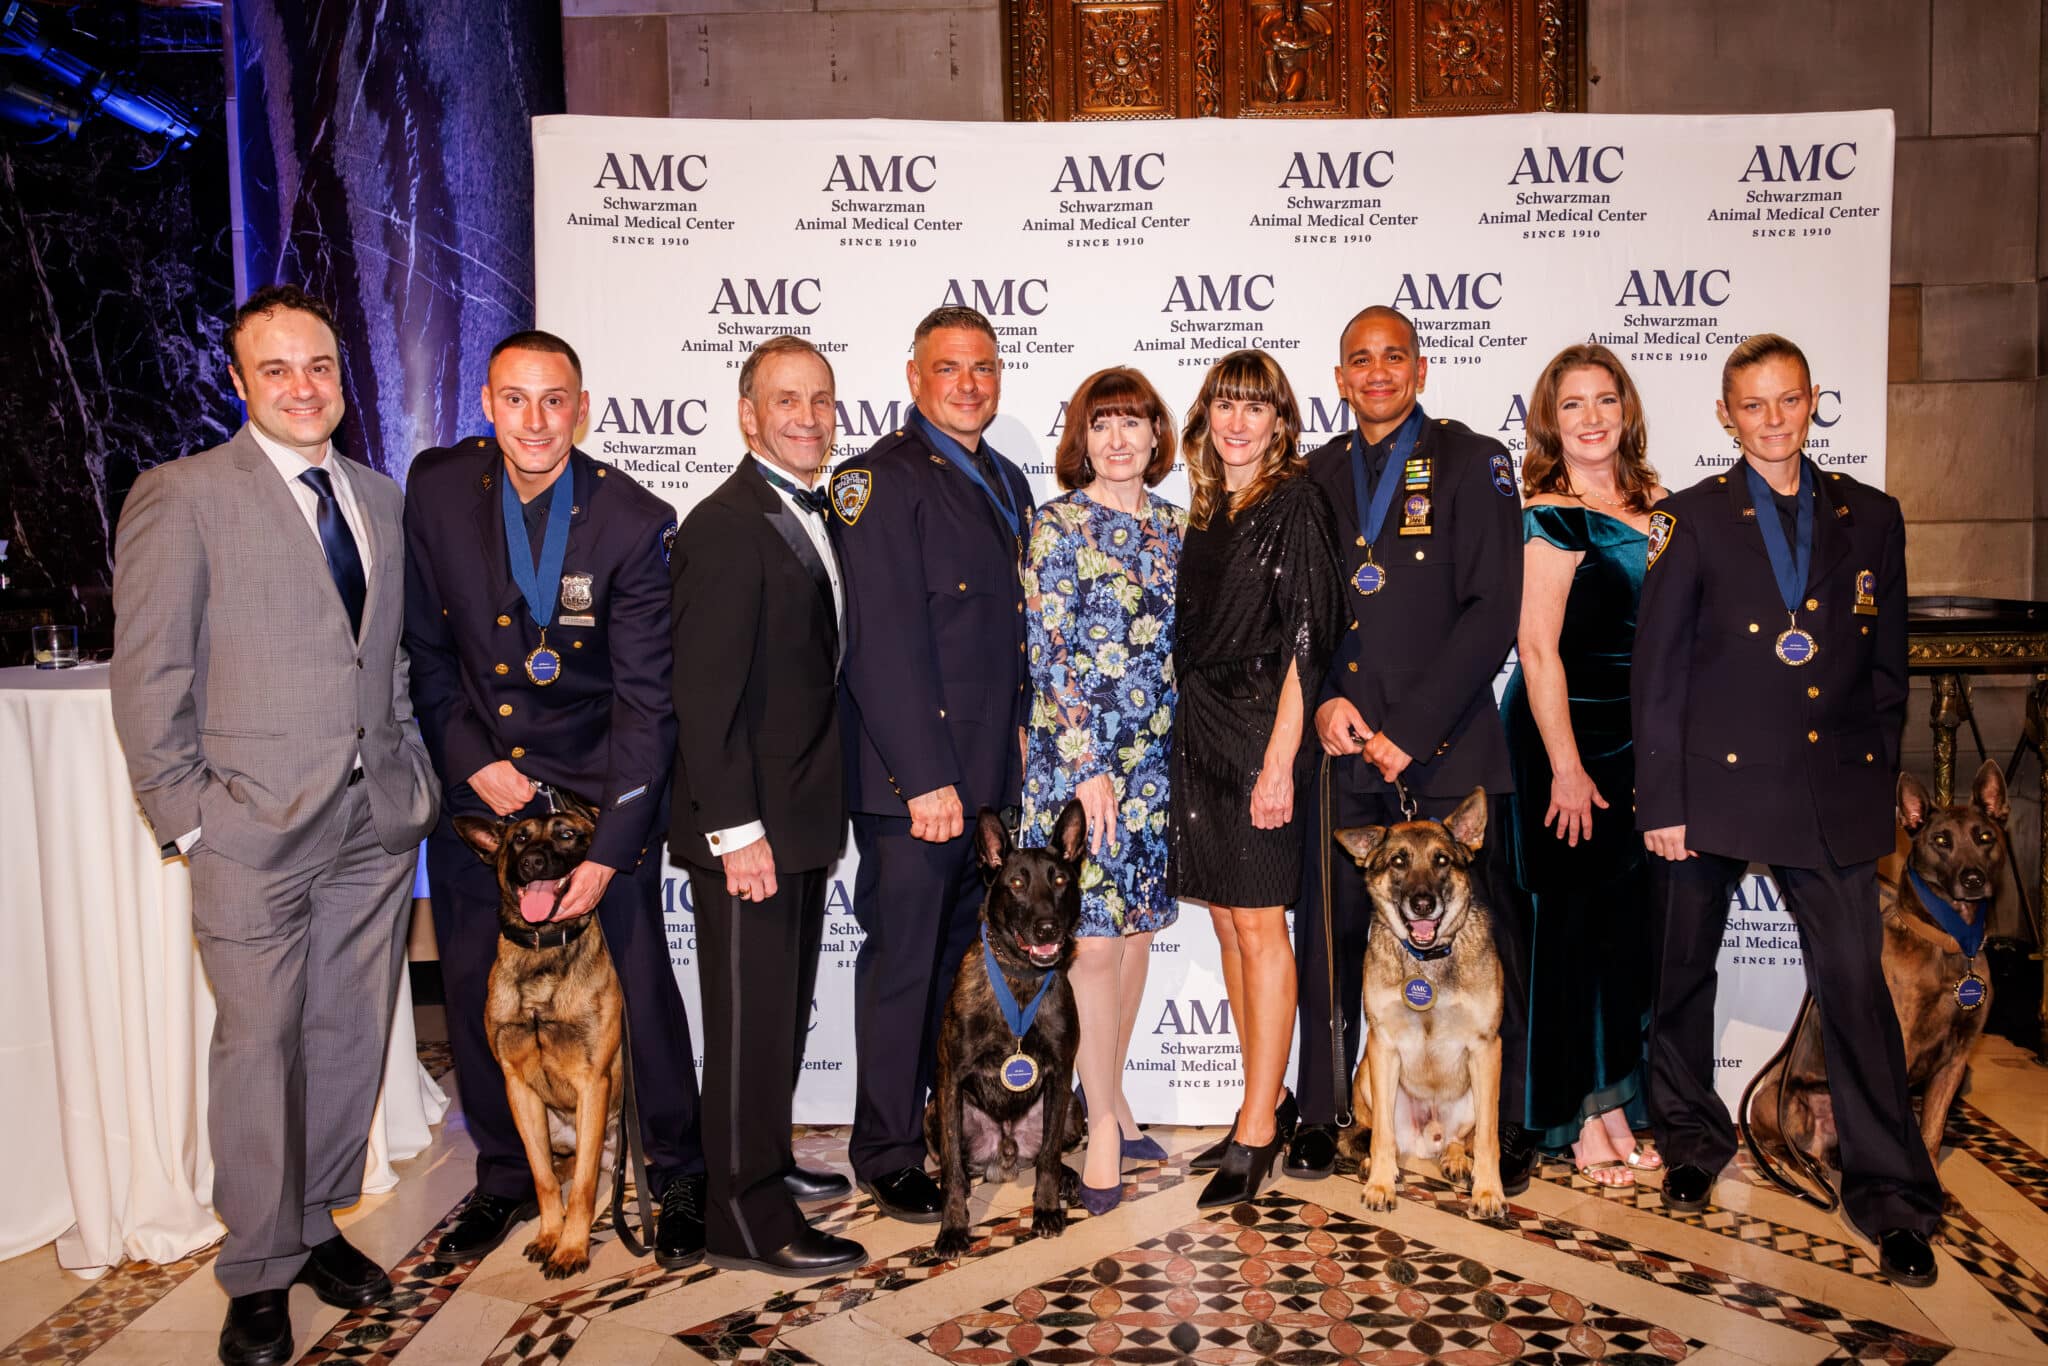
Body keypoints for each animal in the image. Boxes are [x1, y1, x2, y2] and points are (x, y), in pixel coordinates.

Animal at [456, 794, 622, 1277]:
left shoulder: (593, 1083)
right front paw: (552, 1234)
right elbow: (543, 1178)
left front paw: (572, 1247)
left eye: (567, 834)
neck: (542, 952)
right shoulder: (519, 1091)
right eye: (519, 838)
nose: (531, 862)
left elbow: (582, 1187)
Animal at [925, 802, 1089, 1261]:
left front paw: (1046, 1208)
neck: (1020, 979)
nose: (1048, 928)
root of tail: (1007, 1152)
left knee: (1048, 1151)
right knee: (959, 1165)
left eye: (1060, 880)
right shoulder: (950, 1078)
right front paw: (953, 1228)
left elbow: (1048, 1157)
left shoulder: (1059, 1074)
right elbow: (953, 1173)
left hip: (1072, 1108)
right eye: (1016, 883)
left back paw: (1068, 1178)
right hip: (934, 1112)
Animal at [1335, 790, 1515, 1228]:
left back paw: (1456, 1158)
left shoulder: (1487, 1047)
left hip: (1475, 1092)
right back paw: (1378, 1166)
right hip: (1366, 1075)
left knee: (1460, 1138)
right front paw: (1381, 1184)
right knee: (1384, 1135)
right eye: (1398, 861)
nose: (1422, 904)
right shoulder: (1382, 1045)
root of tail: (1425, 1138)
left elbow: (1487, 1139)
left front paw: (1489, 1191)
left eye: (1442, 860)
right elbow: (1382, 1135)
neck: (1427, 961)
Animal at [1744, 757, 2015, 1196]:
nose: (1973, 879)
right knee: (1783, 1144)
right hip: (1777, 1101)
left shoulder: (1955, 1061)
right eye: (1941, 840)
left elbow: (1932, 1131)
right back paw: (1805, 1165)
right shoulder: (1898, 1052)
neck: (1949, 945)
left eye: (1985, 836)